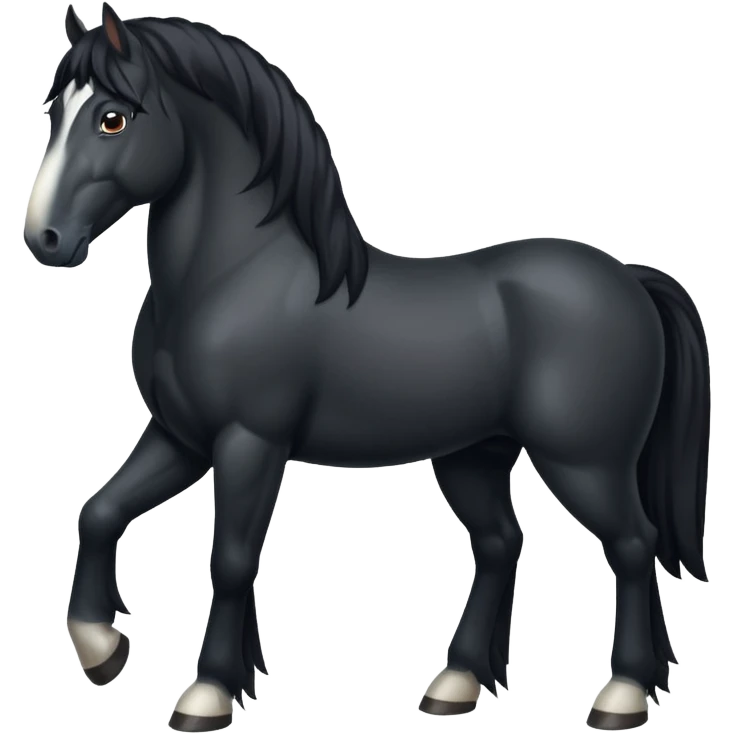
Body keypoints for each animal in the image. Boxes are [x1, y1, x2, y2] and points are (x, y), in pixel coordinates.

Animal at [25, 4, 711, 732]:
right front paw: (102, 648)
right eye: (54, 113)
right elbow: (100, 512)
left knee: (633, 545)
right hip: (474, 456)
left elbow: (230, 560)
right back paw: (456, 686)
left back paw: (622, 695)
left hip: (586, 462)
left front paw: (206, 693)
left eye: (111, 118)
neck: (233, 276)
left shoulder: (249, 442)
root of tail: (629, 278)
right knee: (501, 544)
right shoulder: (181, 438)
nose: (44, 239)